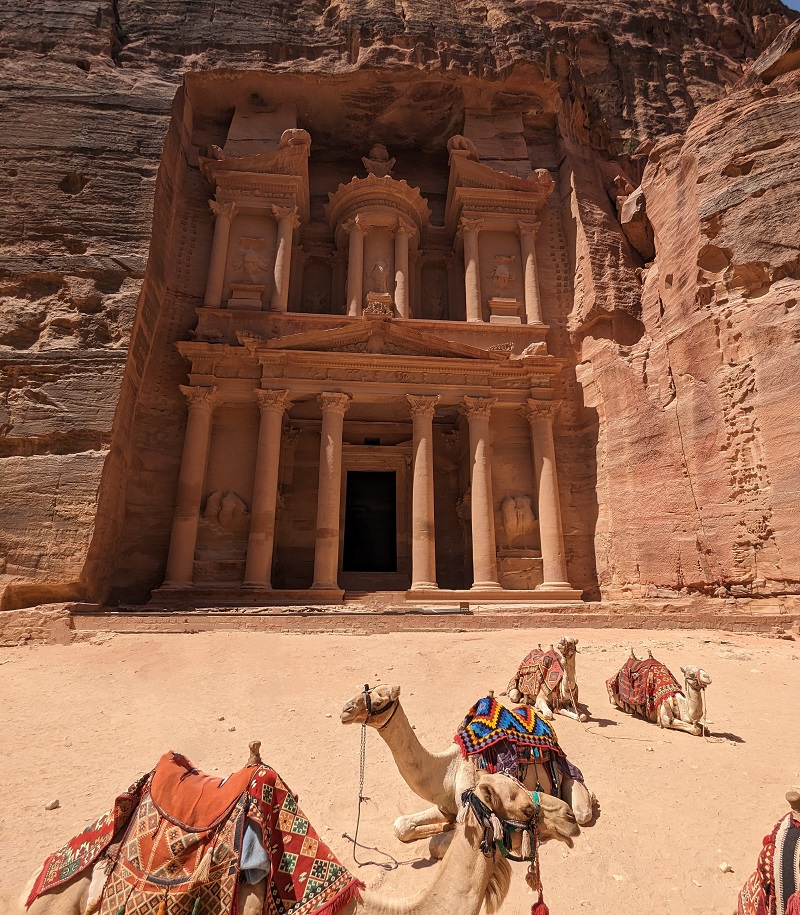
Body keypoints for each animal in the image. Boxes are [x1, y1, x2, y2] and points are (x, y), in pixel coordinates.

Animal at [338, 684, 592, 848]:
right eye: (363, 690)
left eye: (378, 701)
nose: (345, 710)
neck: (447, 769)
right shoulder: (444, 804)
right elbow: (401, 825)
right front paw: (443, 825)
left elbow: (437, 844)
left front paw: (446, 828)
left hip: (565, 777)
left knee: (582, 812)